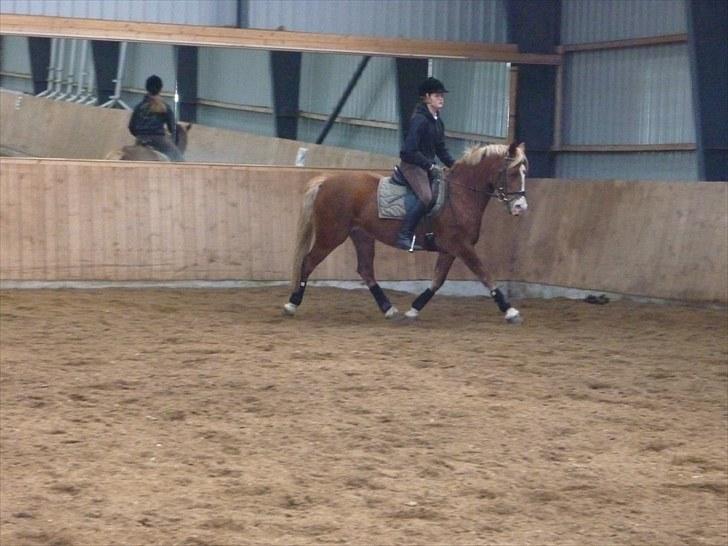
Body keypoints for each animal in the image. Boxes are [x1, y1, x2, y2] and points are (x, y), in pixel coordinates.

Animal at [283, 142, 529, 324]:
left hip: (362, 235)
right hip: (331, 235)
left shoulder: (450, 249)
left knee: (365, 270)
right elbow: (484, 274)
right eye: (512, 173)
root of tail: (326, 180)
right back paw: (292, 304)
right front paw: (510, 311)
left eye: (525, 172)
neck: (460, 195)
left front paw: (413, 310)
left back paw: (389, 309)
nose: (520, 207)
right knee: (308, 262)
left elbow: (437, 281)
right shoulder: (462, 246)